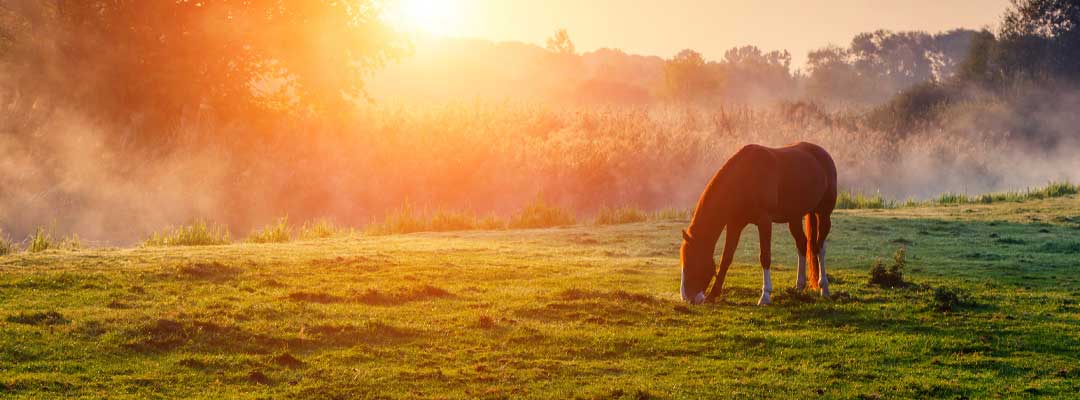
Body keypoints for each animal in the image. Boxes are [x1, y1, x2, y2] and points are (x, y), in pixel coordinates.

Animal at [678, 142, 838, 304]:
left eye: (691, 260)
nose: (686, 297)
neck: (745, 177)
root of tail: (823, 154)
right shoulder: (735, 224)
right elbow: (726, 258)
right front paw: (713, 294)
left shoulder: (764, 221)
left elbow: (765, 257)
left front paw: (765, 295)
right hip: (794, 217)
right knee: (802, 244)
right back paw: (799, 286)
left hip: (823, 214)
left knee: (819, 248)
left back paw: (824, 288)